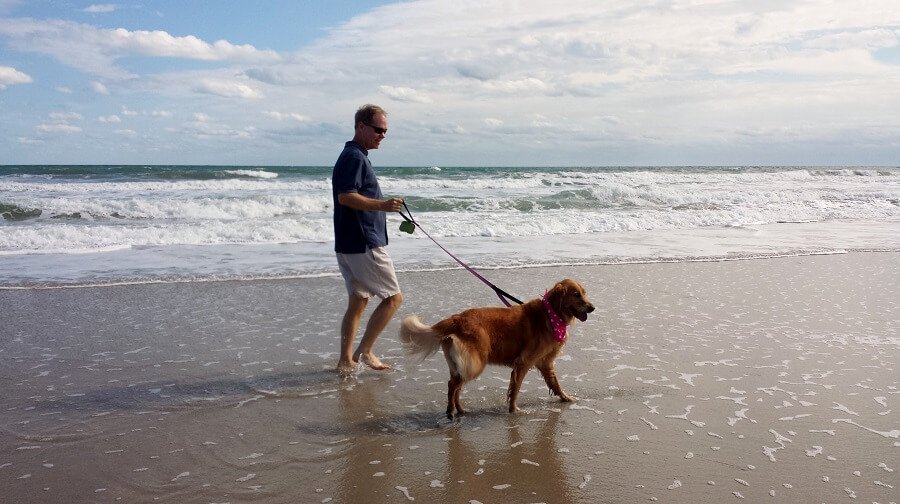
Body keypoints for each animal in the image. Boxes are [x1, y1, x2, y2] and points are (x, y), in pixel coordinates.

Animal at [400, 280, 592, 418]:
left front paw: (566, 398)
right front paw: (513, 409)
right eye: (576, 294)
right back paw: (450, 411)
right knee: (453, 385)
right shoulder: (523, 362)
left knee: (455, 386)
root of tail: (457, 318)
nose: (592, 307)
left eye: (584, 293)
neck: (551, 314)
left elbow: (555, 383)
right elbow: (516, 388)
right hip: (475, 363)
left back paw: (460, 409)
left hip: (460, 364)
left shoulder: (545, 363)